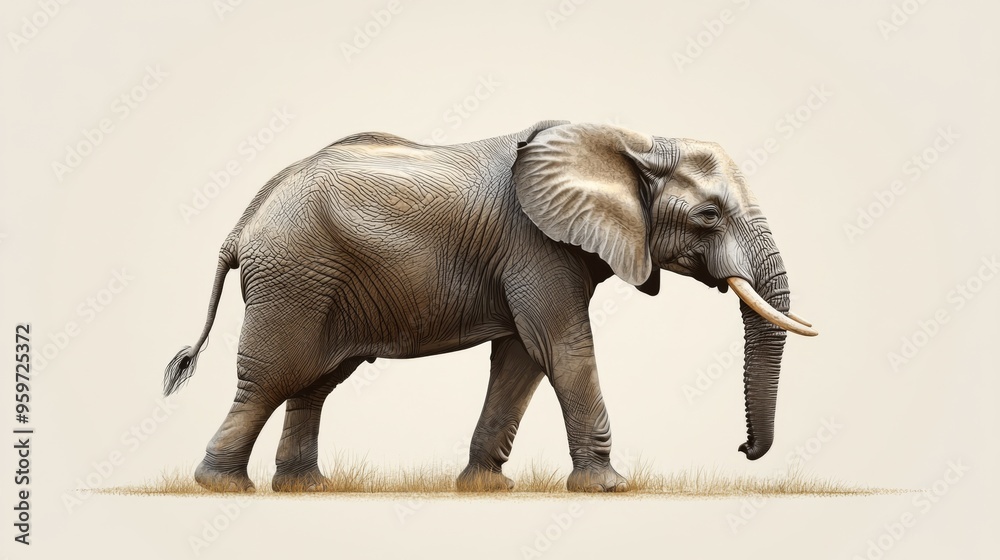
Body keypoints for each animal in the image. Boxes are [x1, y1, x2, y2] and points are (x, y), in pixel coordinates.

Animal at [162, 120, 816, 493]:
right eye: (708, 215)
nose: (743, 451)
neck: (631, 142)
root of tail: (244, 221)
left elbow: (522, 360)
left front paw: (482, 487)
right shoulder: (537, 247)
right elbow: (562, 348)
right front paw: (610, 487)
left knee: (315, 382)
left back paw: (308, 489)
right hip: (293, 278)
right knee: (273, 377)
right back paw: (221, 487)